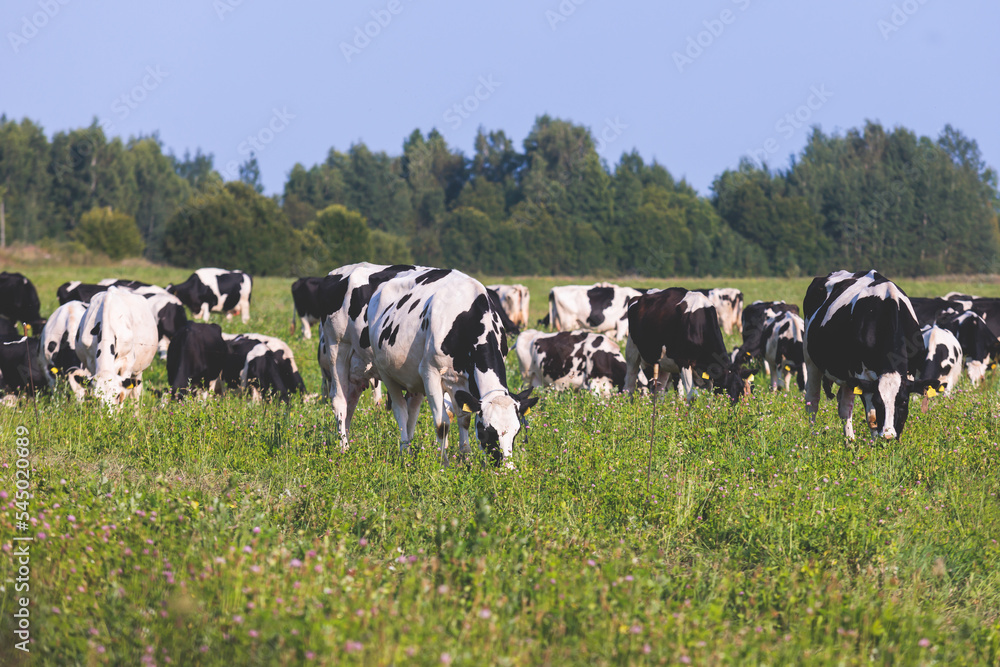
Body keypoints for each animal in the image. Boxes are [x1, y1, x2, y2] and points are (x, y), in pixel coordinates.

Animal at [370, 268, 540, 468]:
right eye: (487, 431)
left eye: (517, 431)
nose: (507, 469)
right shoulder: (430, 374)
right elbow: (442, 424)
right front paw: (443, 464)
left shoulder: (463, 383)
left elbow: (464, 419)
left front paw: (465, 458)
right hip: (387, 374)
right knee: (400, 412)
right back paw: (405, 453)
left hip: (413, 381)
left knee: (411, 412)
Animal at [624, 288, 752, 402]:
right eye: (725, 389)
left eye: (741, 391)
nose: (731, 410)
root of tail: (638, 297)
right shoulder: (683, 362)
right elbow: (692, 397)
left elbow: (708, 398)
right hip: (632, 352)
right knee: (629, 385)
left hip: (663, 361)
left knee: (659, 390)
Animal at [800, 268, 932, 440]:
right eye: (878, 402)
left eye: (903, 401)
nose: (888, 435)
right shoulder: (863, 375)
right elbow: (872, 418)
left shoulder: (909, 373)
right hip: (810, 360)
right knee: (812, 400)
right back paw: (812, 437)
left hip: (847, 375)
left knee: (844, 407)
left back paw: (849, 441)